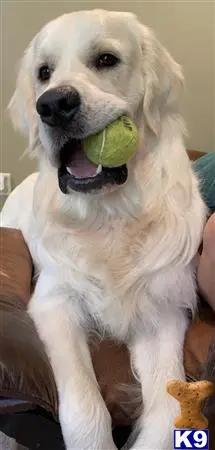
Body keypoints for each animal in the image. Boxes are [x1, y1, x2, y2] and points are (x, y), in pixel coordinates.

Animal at [1, 9, 207, 450]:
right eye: (44, 72)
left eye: (106, 60)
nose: (53, 105)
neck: (108, 215)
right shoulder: (55, 301)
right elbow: (85, 406)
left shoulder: (163, 311)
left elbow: (166, 412)